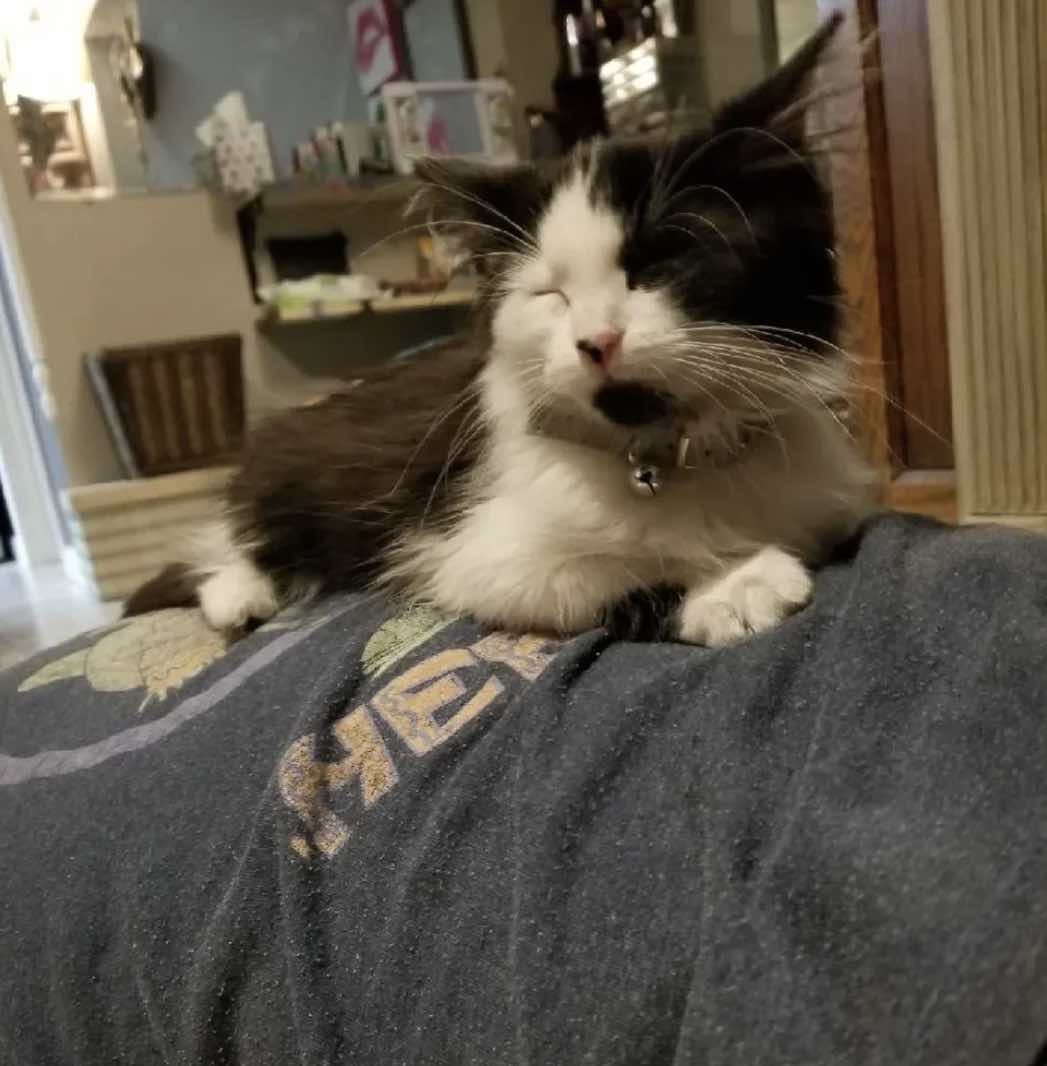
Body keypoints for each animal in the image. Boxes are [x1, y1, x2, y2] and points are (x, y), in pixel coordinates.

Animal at [126, 16, 874, 643]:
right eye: (551, 293)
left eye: (659, 262)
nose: (596, 341)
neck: (665, 457)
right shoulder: (468, 550)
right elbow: (600, 575)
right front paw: (733, 582)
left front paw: (736, 572)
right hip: (298, 476)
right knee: (234, 538)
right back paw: (237, 591)